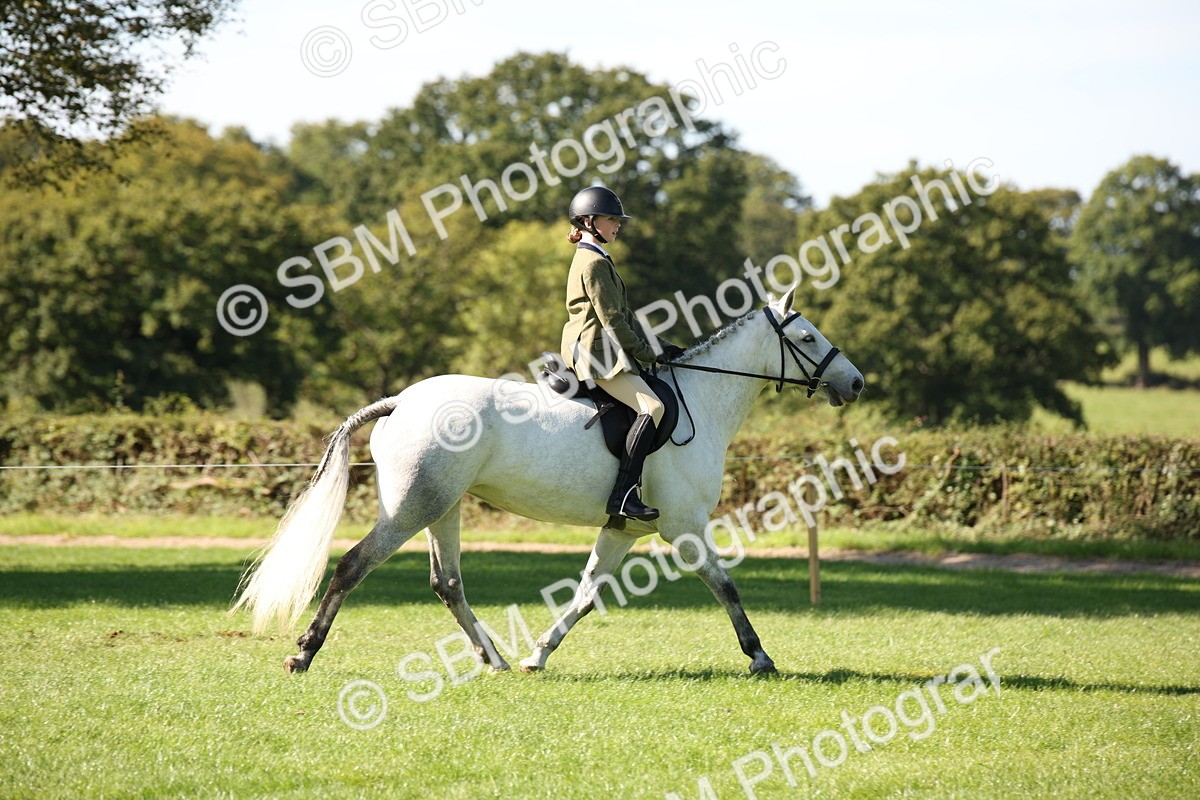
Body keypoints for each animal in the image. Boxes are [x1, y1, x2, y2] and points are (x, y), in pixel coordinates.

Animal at [233, 286, 864, 675]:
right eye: (807, 338)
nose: (856, 383)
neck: (701, 403)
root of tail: (400, 401)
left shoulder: (624, 529)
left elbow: (586, 594)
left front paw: (538, 655)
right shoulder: (685, 526)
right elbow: (725, 585)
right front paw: (759, 657)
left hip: (443, 507)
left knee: (447, 583)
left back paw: (494, 659)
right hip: (412, 507)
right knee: (352, 567)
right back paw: (304, 654)